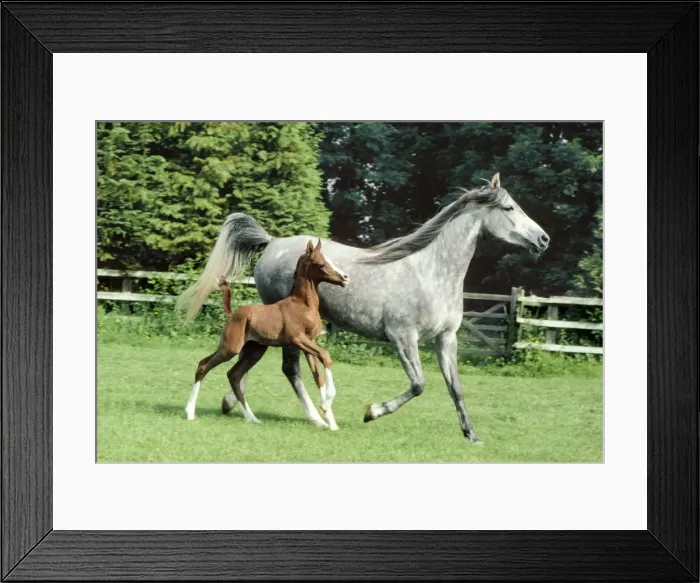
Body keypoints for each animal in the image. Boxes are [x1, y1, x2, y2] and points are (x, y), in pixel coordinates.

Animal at [184, 239, 350, 430]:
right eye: (321, 264)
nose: (345, 277)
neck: (303, 305)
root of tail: (232, 314)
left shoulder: (310, 342)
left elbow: (319, 376)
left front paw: (330, 421)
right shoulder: (298, 339)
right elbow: (326, 356)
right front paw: (327, 406)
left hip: (253, 351)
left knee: (233, 375)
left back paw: (252, 418)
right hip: (231, 348)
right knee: (204, 366)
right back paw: (190, 412)